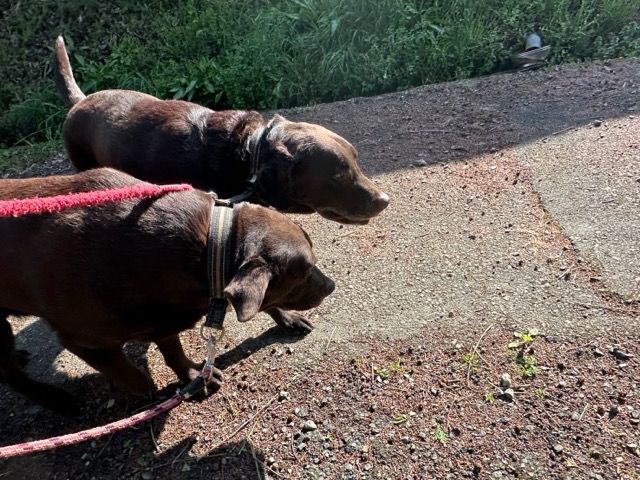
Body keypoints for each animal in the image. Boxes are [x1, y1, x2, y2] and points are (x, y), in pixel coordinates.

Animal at [0, 168, 334, 412]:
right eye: (306, 271)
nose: (331, 286)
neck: (210, 248)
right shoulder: (83, 340)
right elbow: (130, 374)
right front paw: (147, 390)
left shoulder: (165, 316)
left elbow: (174, 350)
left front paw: (193, 377)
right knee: (11, 376)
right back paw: (55, 398)